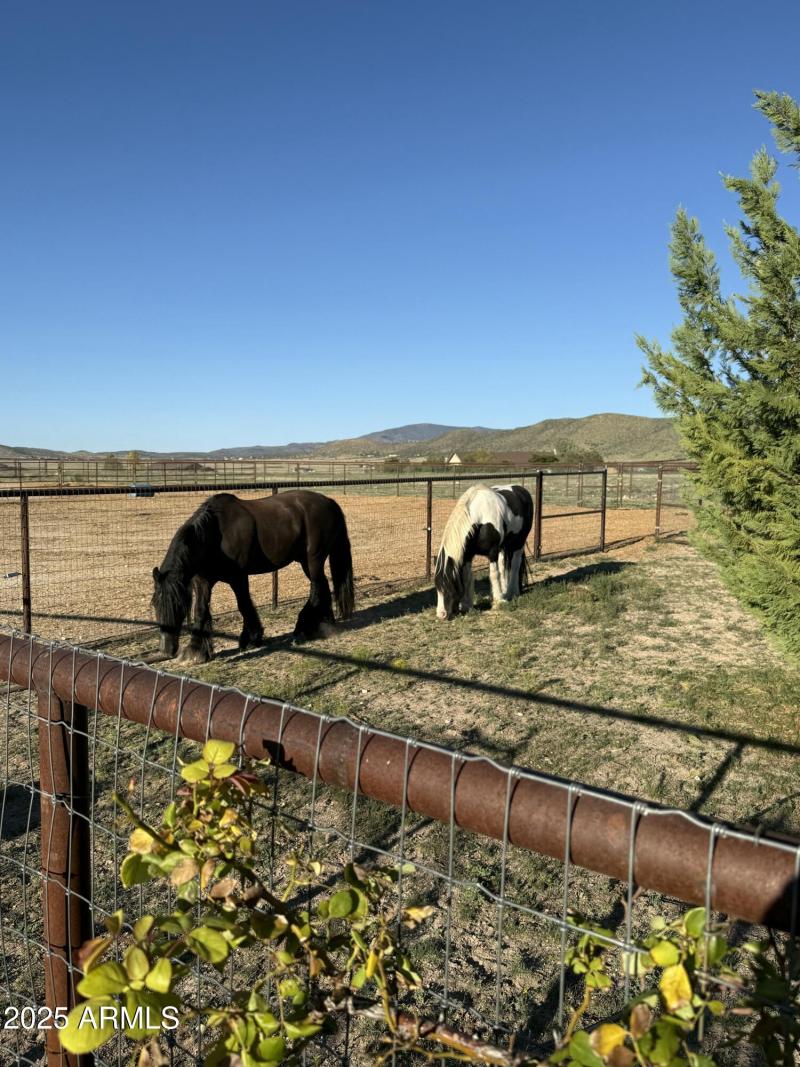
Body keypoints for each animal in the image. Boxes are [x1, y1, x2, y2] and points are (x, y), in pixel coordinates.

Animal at [151, 490, 354, 662]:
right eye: (155, 604)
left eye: (178, 605)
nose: (166, 649)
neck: (215, 534)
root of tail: (329, 501)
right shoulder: (203, 581)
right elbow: (201, 610)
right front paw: (197, 650)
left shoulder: (238, 577)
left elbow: (244, 605)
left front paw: (251, 639)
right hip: (306, 561)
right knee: (322, 585)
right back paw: (325, 624)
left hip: (313, 559)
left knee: (316, 587)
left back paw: (304, 629)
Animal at [434, 483, 534, 620]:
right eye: (437, 585)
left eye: (448, 583)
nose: (441, 614)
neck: (480, 520)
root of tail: (522, 490)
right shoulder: (467, 556)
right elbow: (467, 577)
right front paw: (466, 605)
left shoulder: (492, 552)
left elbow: (494, 574)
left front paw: (498, 602)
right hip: (504, 546)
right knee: (503, 566)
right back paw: (504, 592)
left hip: (519, 542)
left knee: (515, 565)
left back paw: (512, 592)